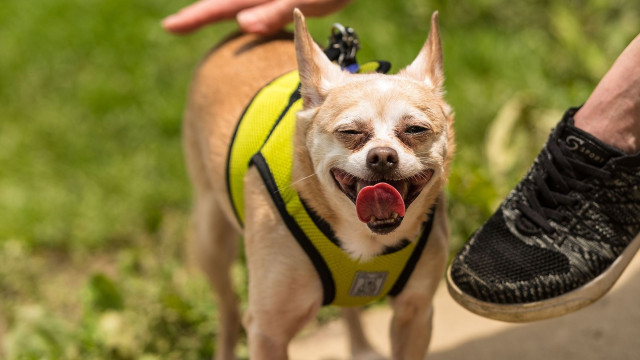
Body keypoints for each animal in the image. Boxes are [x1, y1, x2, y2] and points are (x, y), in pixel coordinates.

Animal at [182, 9, 456, 360]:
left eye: (415, 129)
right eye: (350, 132)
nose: (382, 156)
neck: (366, 241)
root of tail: (238, 36)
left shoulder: (415, 314)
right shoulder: (268, 332)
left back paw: (362, 348)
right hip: (211, 236)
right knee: (227, 306)